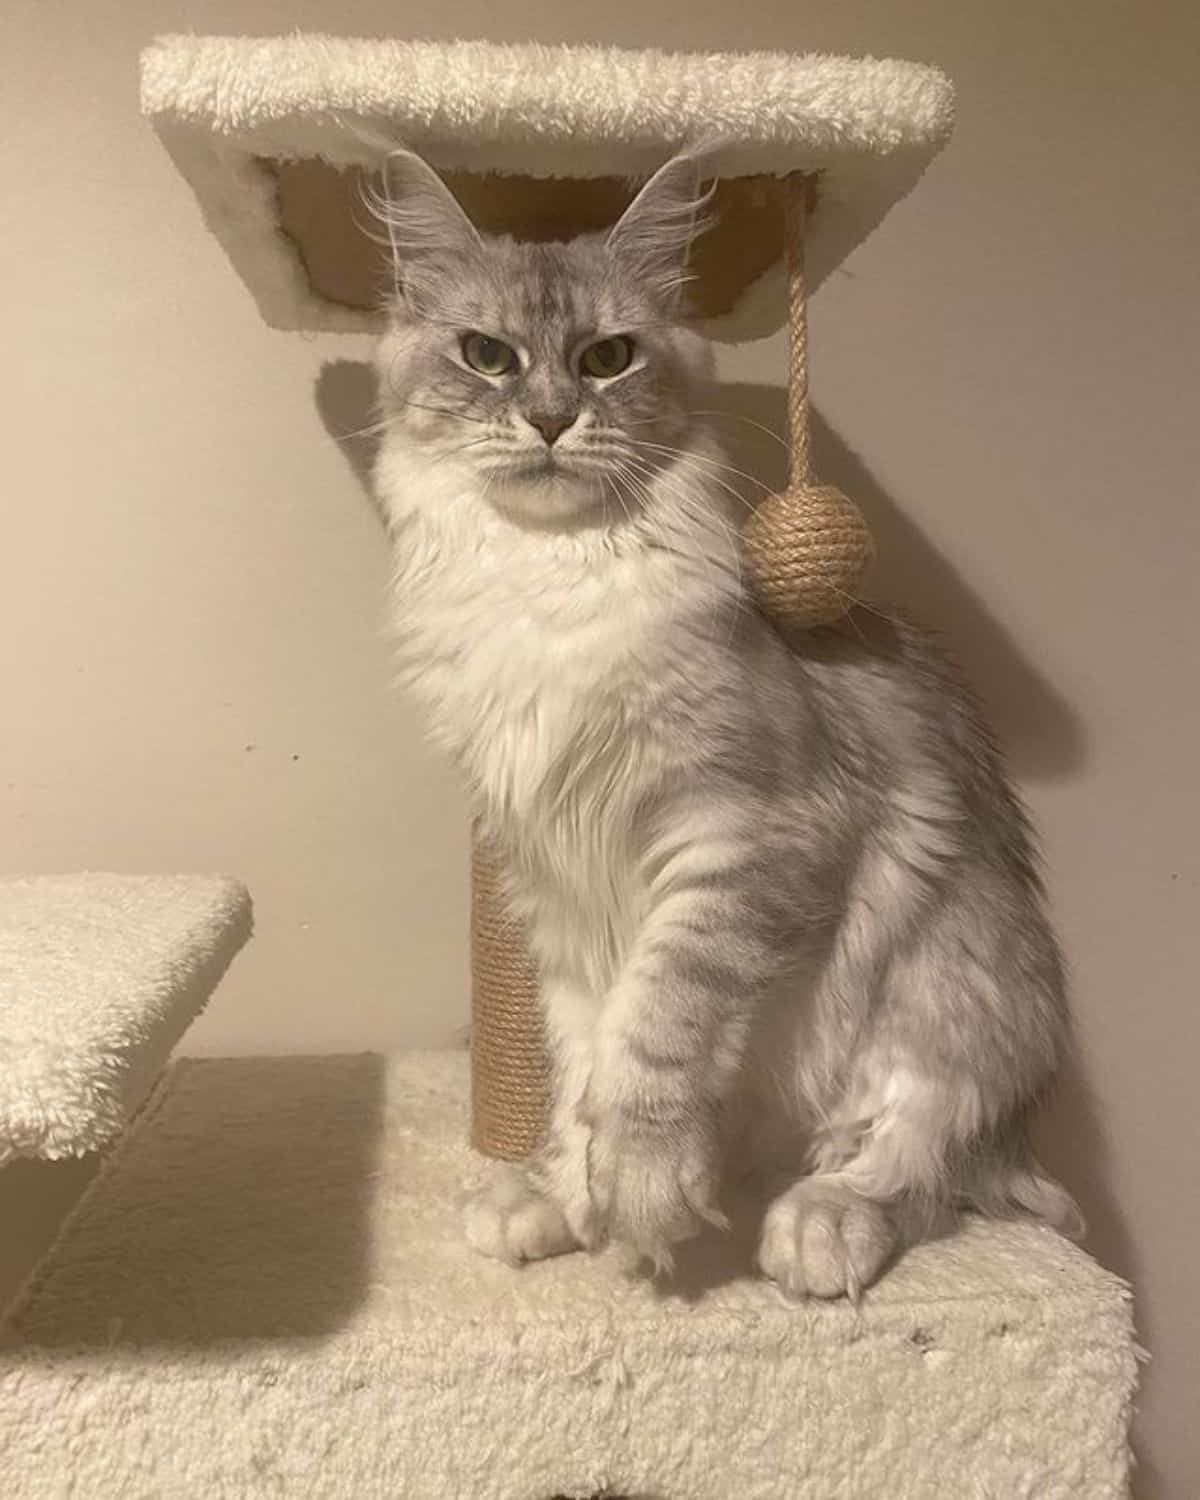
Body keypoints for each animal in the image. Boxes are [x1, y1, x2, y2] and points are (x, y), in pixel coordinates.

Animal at [367, 155, 1080, 1302]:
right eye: (487, 355)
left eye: (607, 359)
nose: (553, 419)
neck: (546, 585)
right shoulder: (552, 887)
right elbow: (588, 1056)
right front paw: (577, 1197)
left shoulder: (746, 832)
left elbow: (659, 1030)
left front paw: (645, 1193)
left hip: (962, 990)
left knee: (914, 1166)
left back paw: (817, 1227)